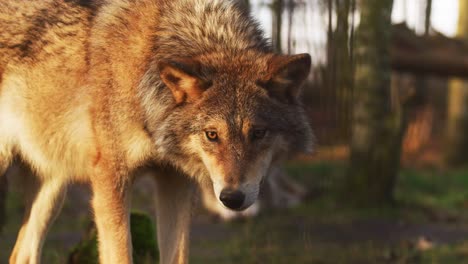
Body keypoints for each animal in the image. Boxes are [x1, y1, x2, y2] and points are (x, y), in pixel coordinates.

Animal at [0, 0, 314, 262]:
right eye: (212, 134)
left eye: (258, 133)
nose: (232, 198)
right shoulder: (110, 179)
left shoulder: (175, 181)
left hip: (53, 190)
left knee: (21, 254)